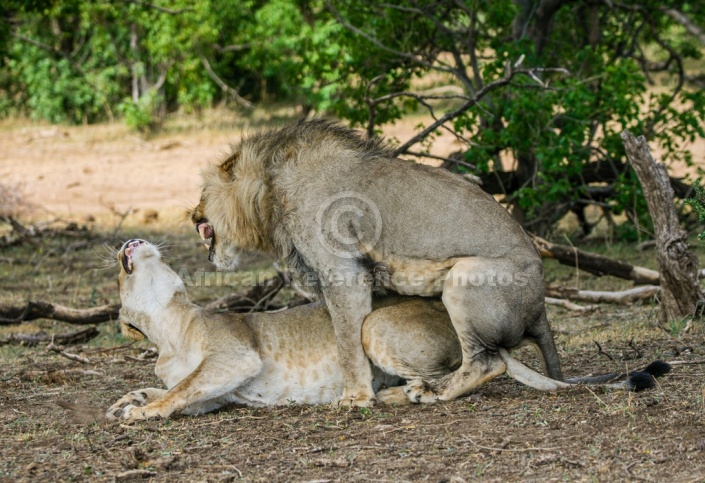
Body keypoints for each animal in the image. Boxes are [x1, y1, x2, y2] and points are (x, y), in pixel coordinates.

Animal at [106, 241, 664, 420]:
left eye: (119, 262)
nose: (130, 242)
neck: (170, 327)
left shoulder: (236, 357)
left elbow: (180, 387)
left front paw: (141, 411)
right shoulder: (219, 391)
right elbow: (179, 387)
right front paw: (130, 399)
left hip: (373, 324)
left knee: (473, 369)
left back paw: (404, 397)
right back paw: (397, 395)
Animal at [188, 120, 584, 404]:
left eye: (203, 191)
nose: (191, 214)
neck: (269, 194)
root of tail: (540, 307)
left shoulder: (343, 273)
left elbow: (348, 343)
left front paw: (355, 398)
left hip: (465, 277)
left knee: (488, 362)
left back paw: (425, 392)